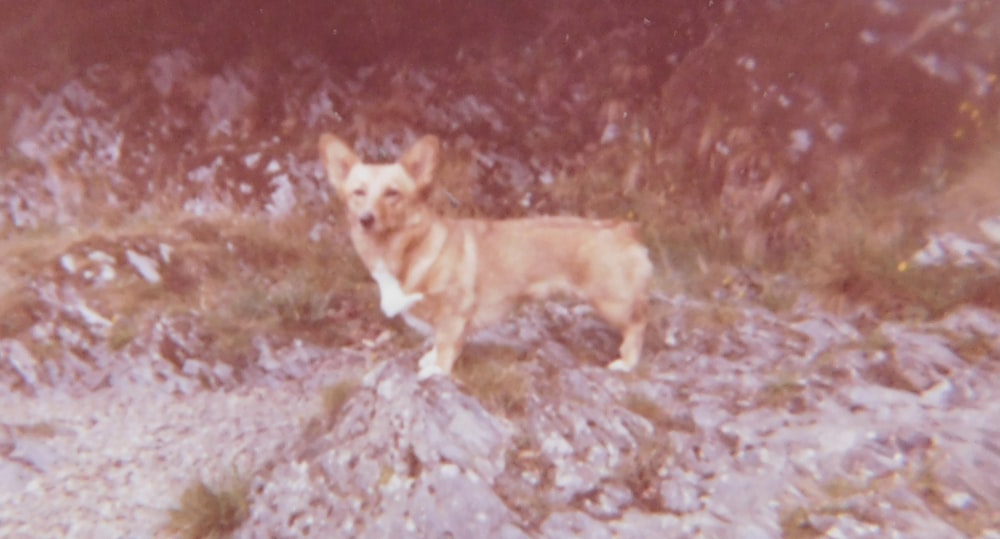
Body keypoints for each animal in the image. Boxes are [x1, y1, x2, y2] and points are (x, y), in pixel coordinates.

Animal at [316, 134, 652, 380]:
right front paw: (429, 359)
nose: (366, 219)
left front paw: (438, 370)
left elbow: (445, 344)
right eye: (358, 192)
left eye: (392, 193)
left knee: (638, 324)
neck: (408, 248)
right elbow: (438, 341)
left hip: (612, 302)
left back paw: (625, 362)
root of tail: (625, 229)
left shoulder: (453, 313)